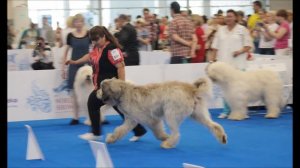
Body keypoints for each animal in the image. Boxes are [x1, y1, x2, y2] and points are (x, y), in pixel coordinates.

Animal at [97, 77, 226, 148]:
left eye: (101, 87)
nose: (96, 92)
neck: (124, 92)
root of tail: (192, 89)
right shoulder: (130, 120)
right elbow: (119, 130)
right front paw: (111, 138)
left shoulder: (151, 120)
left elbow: (158, 133)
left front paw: (164, 137)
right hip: (198, 114)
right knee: (214, 125)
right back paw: (222, 137)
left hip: (171, 114)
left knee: (176, 133)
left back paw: (168, 144)